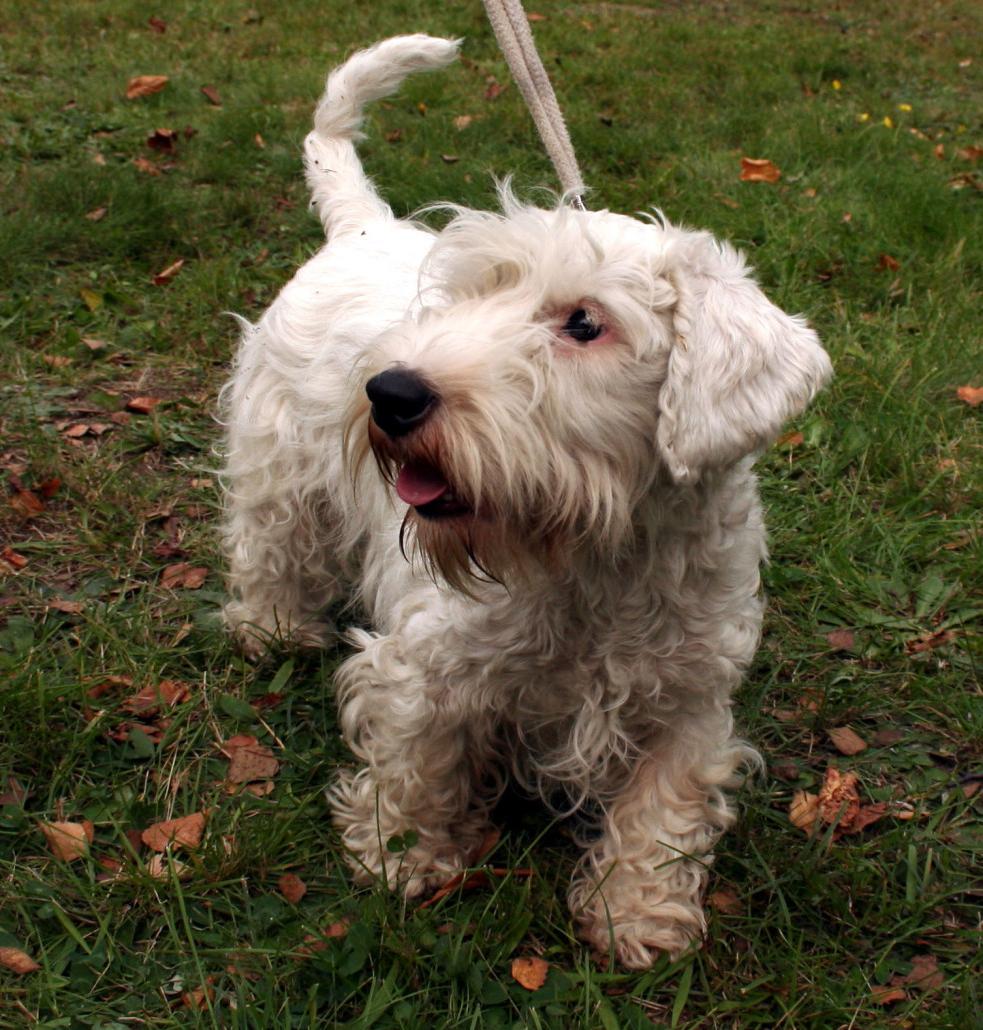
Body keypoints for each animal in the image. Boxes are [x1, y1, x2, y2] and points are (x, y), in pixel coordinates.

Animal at [220, 34, 828, 964]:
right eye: (465, 295)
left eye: (583, 323)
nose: (390, 393)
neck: (595, 560)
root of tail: (359, 226)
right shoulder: (427, 668)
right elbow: (415, 762)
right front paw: (404, 856)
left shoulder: (686, 701)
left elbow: (662, 810)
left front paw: (637, 916)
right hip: (279, 465)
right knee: (270, 543)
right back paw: (274, 628)